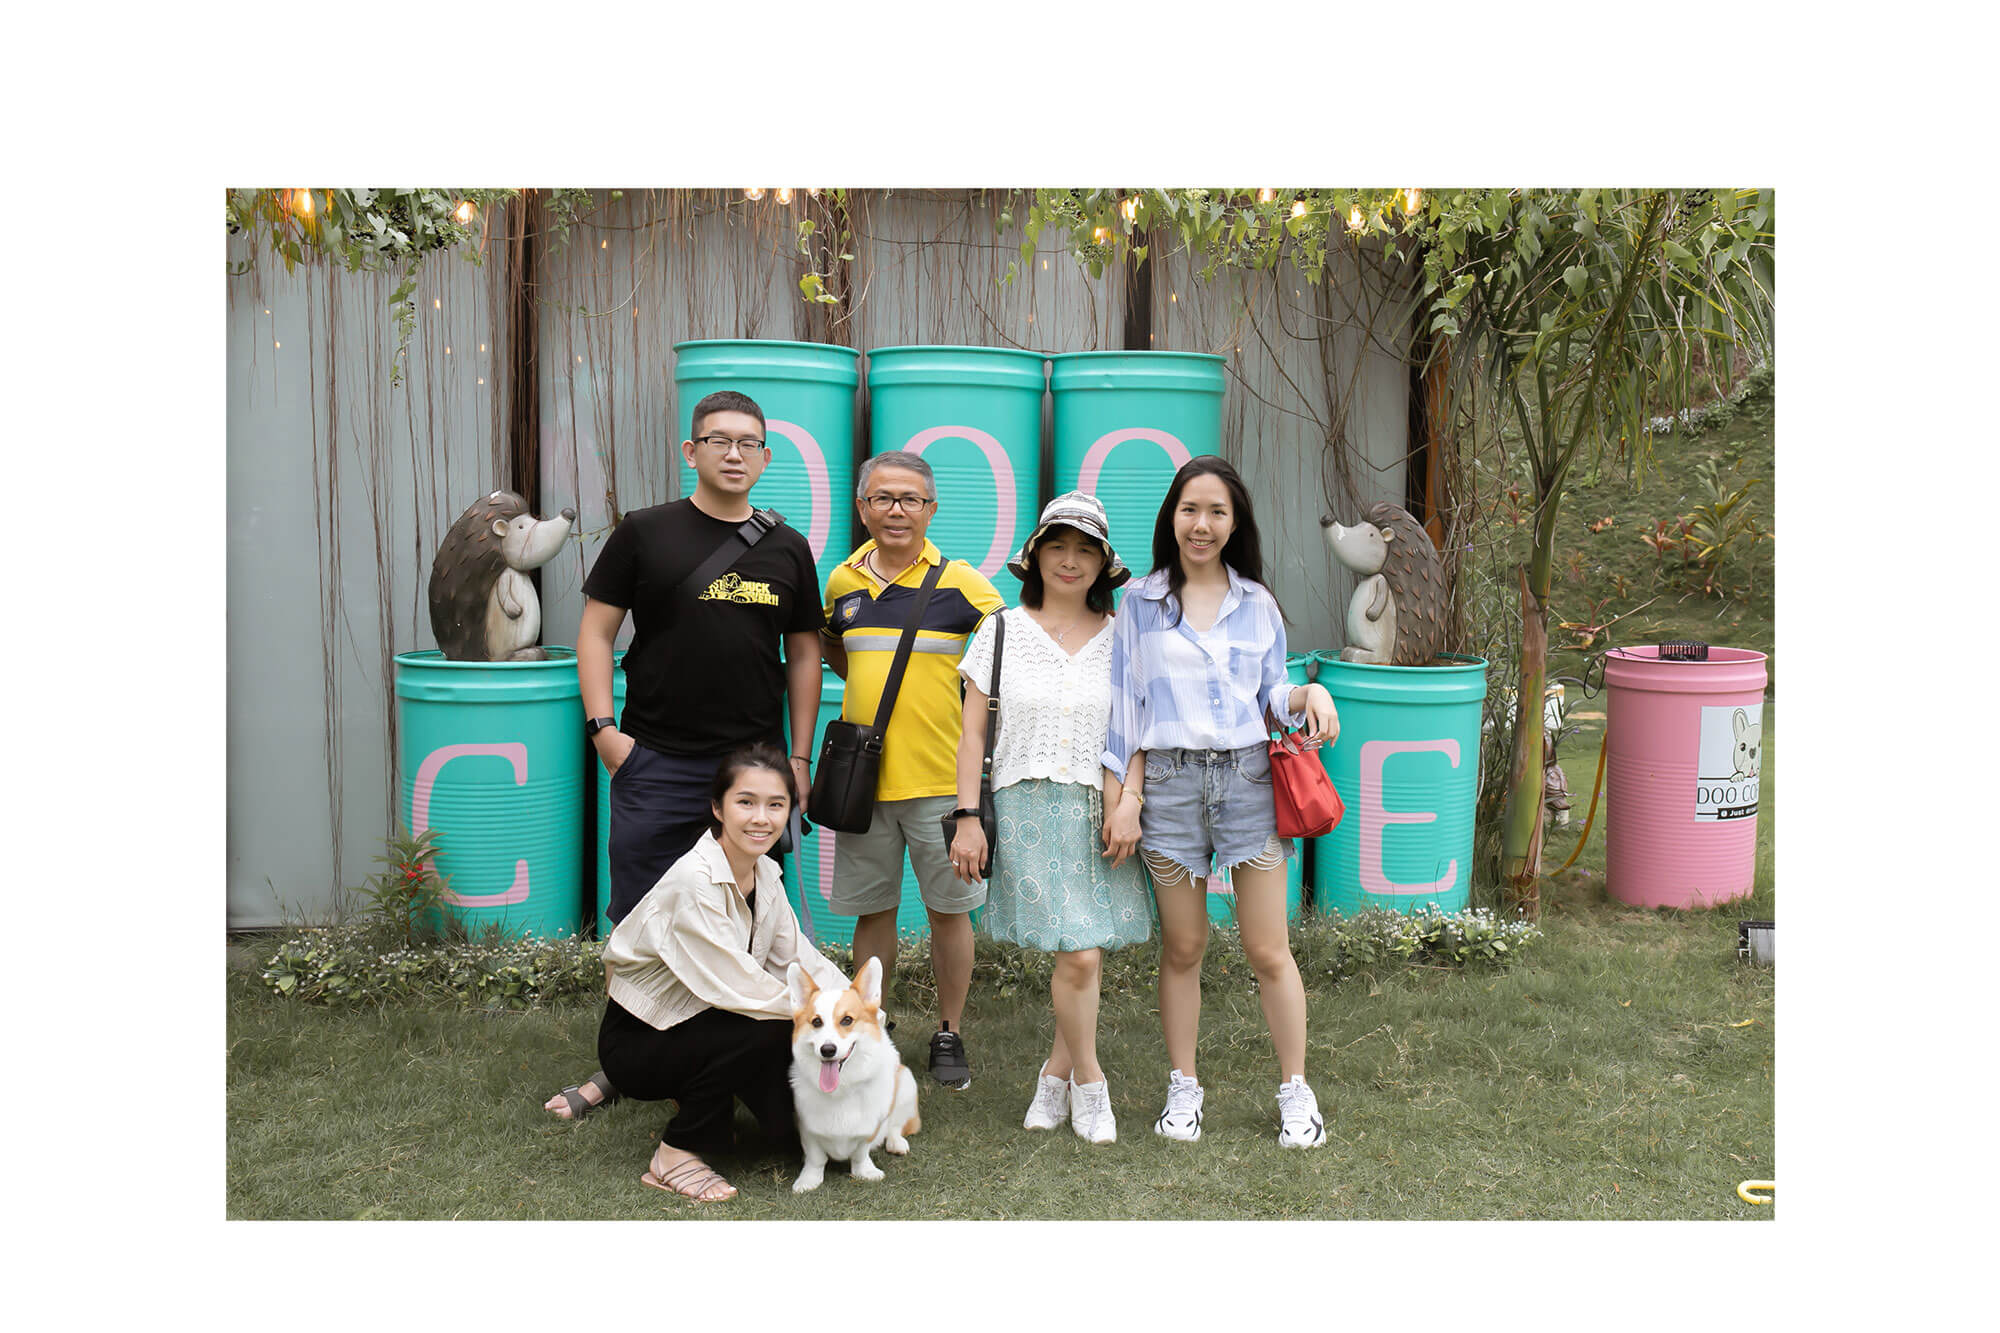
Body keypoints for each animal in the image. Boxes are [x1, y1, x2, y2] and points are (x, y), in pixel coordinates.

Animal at [786, 955, 920, 1192]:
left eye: (847, 1020)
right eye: (816, 1022)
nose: (827, 1050)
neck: (841, 1089)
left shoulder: (869, 1128)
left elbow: (860, 1152)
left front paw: (864, 1172)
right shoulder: (807, 1128)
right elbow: (815, 1158)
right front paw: (809, 1179)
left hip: (906, 1083)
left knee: (896, 1125)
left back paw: (896, 1143)